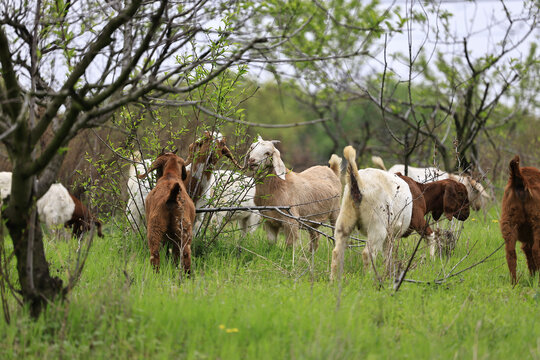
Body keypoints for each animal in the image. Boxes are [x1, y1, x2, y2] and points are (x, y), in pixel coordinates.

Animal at [330, 147, 414, 282]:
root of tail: (359, 182)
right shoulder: (391, 233)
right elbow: (388, 254)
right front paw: (387, 274)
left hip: (345, 216)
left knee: (337, 251)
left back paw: (333, 281)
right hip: (377, 223)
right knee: (368, 253)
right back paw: (368, 278)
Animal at [498, 155, 540, 284]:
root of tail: (520, 179)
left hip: (509, 222)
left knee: (511, 253)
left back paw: (514, 283)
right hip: (537, 222)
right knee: (536, 250)